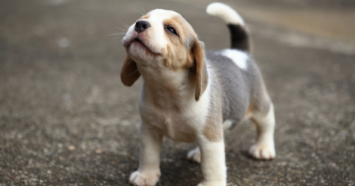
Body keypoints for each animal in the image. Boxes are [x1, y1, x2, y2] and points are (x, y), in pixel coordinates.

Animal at [121, 2, 276, 185]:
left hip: (260, 108)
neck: (167, 91)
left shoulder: (211, 139)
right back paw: (198, 154)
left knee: (266, 125)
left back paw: (263, 148)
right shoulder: (149, 130)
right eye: (142, 19)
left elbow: (212, 165)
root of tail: (240, 53)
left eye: (171, 29)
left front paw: (212, 183)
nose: (140, 24)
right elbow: (148, 155)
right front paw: (146, 176)